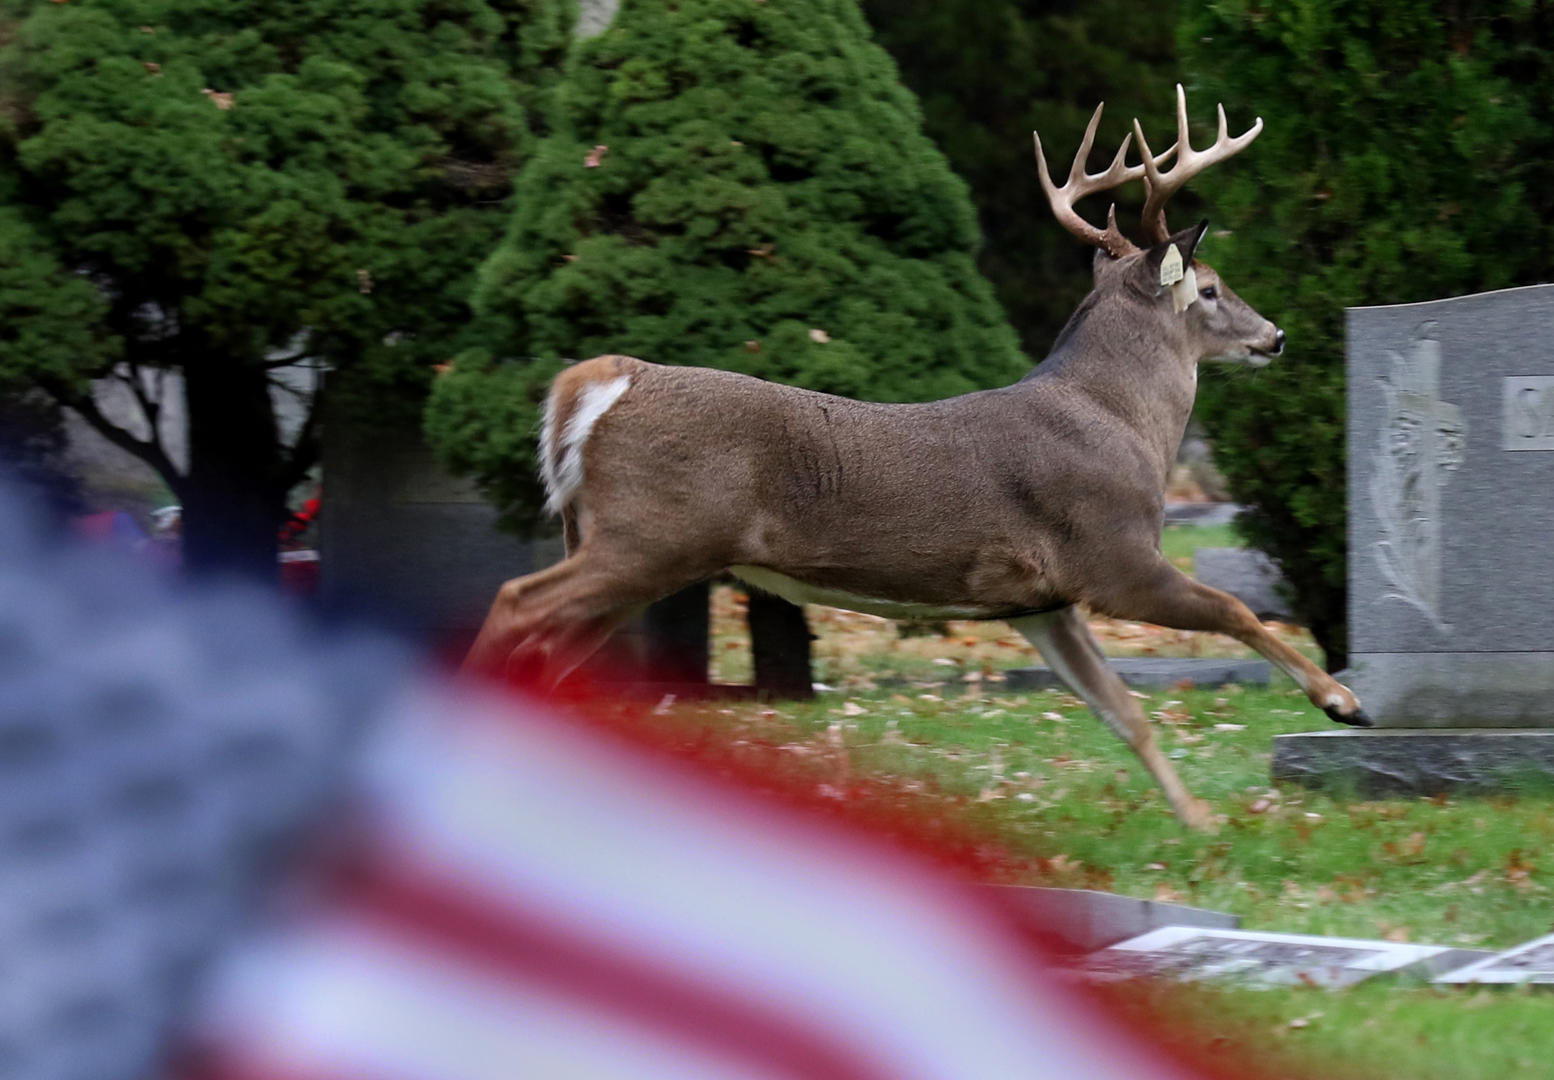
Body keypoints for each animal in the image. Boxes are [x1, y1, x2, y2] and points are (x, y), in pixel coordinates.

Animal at [463, 86, 1373, 826]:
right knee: (514, 601)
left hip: (620, 542)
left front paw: (1200, 824)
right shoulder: (1112, 555)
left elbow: (1124, 710)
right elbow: (1236, 610)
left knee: (551, 646)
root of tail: (596, 383)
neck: (1122, 422)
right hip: (651, 534)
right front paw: (1342, 700)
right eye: (1210, 287)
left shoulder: (1039, 600)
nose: (1275, 336)